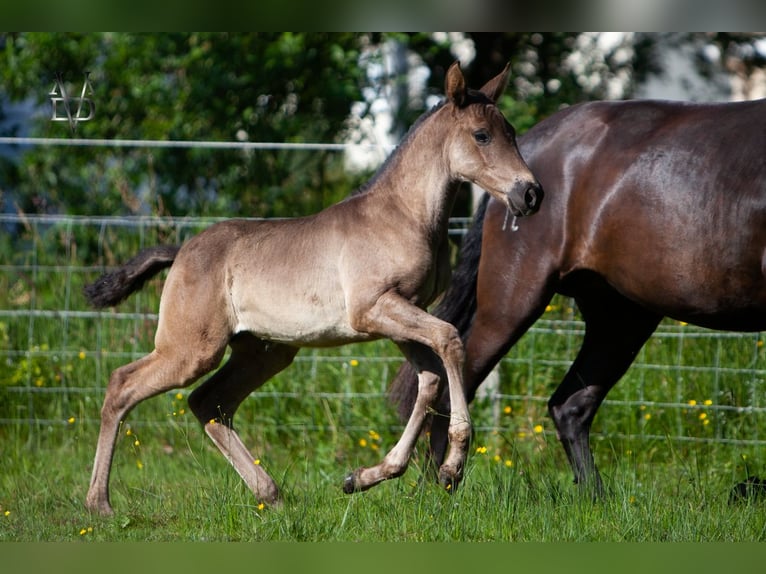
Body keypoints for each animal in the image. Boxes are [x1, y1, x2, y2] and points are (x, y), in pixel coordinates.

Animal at [84, 63, 544, 516]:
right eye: (482, 135)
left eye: (512, 132)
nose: (530, 193)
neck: (403, 215)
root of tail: (180, 252)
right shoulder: (373, 309)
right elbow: (449, 341)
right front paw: (451, 468)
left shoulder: (402, 313)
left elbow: (429, 378)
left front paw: (366, 476)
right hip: (192, 349)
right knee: (122, 385)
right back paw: (99, 504)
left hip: (264, 351)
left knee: (208, 402)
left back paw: (270, 494)